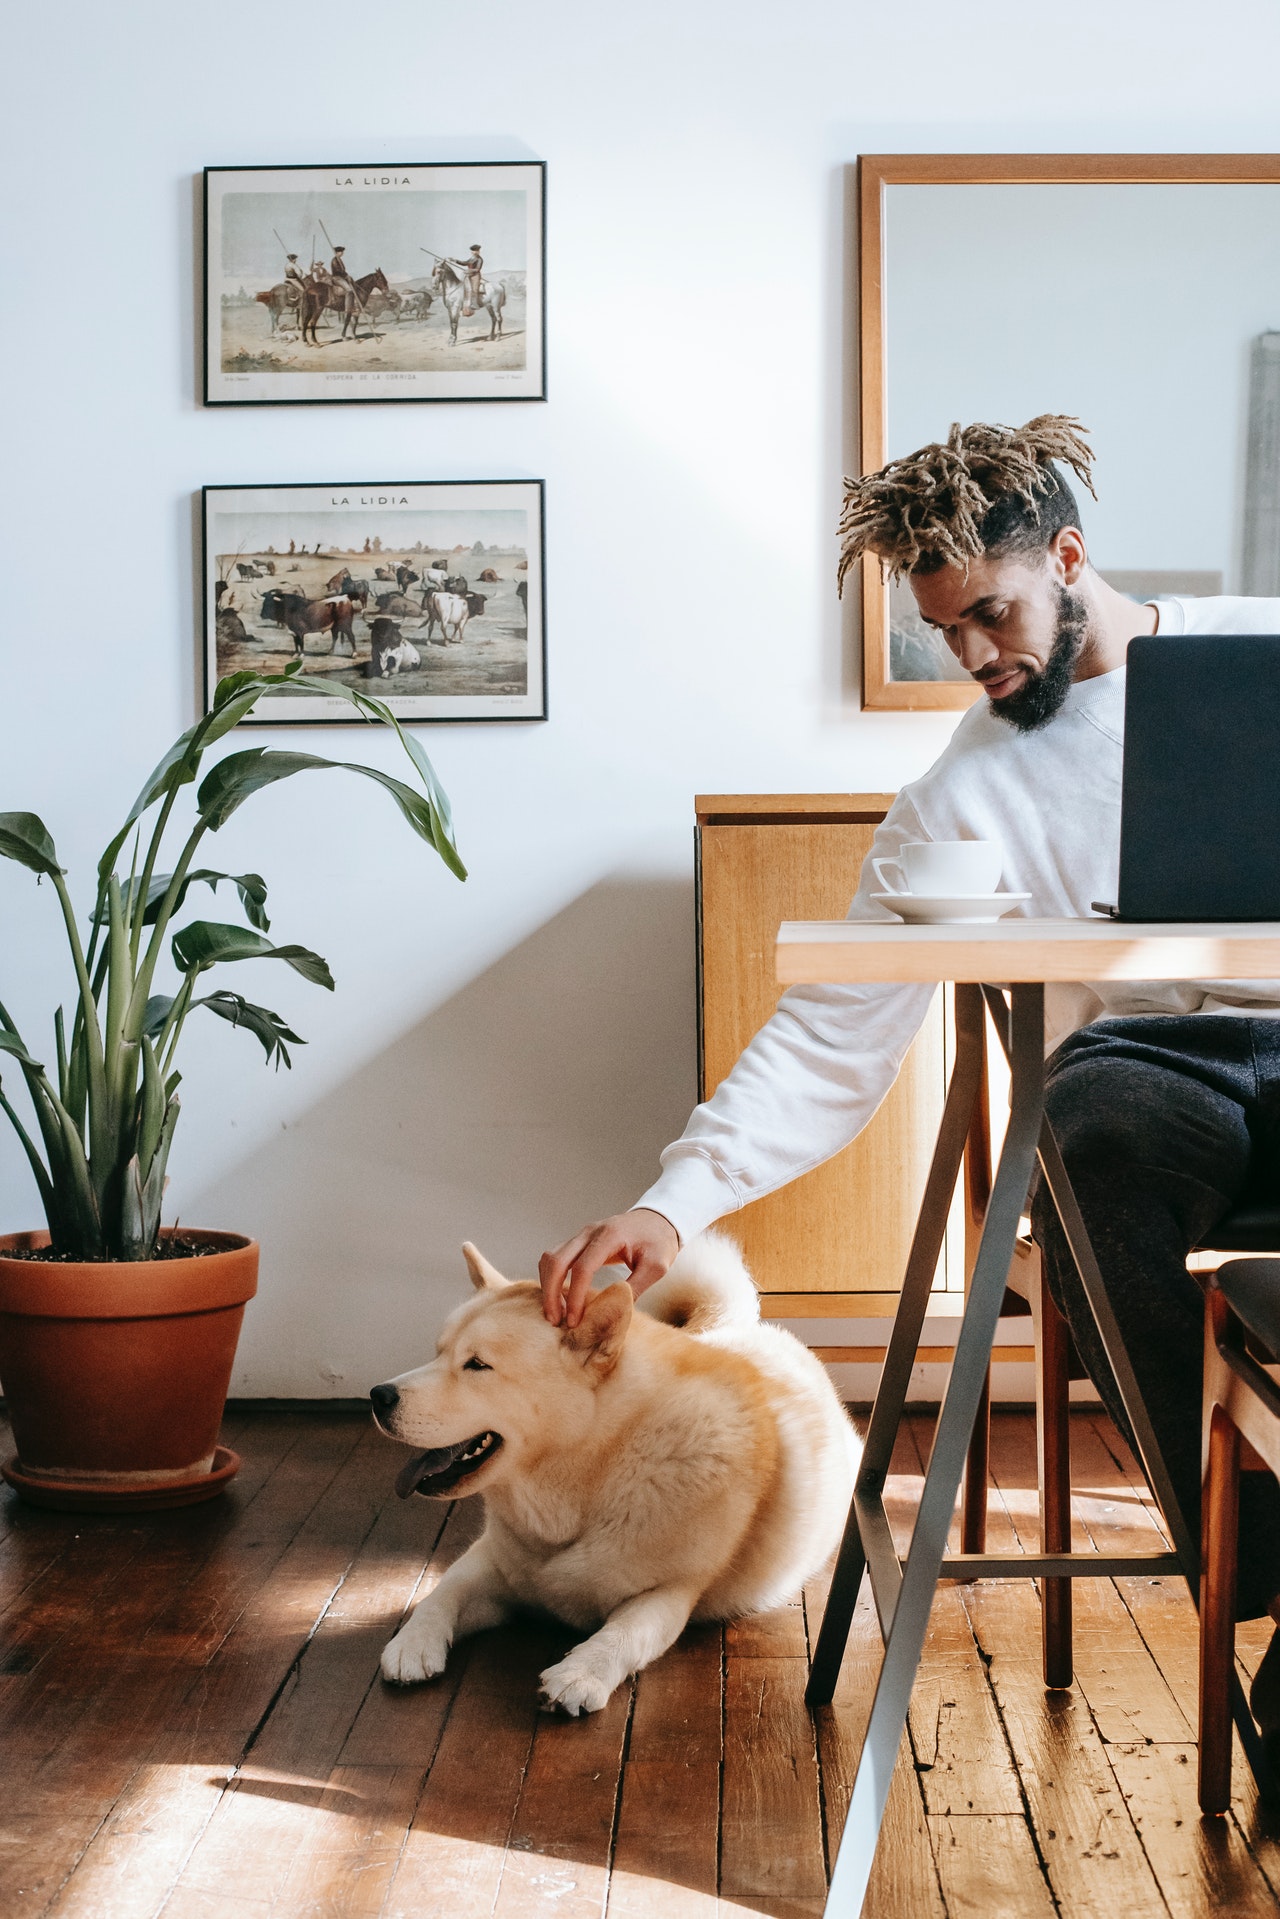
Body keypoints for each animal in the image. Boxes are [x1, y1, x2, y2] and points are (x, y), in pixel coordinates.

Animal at [370, 1235, 859, 1719]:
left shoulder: (671, 1591)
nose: (378, 1395)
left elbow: (627, 1633)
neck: (594, 1476)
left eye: (477, 1365)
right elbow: (443, 1591)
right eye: (437, 1353)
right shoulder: (493, 1563)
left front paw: (581, 1674)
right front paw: (413, 1641)